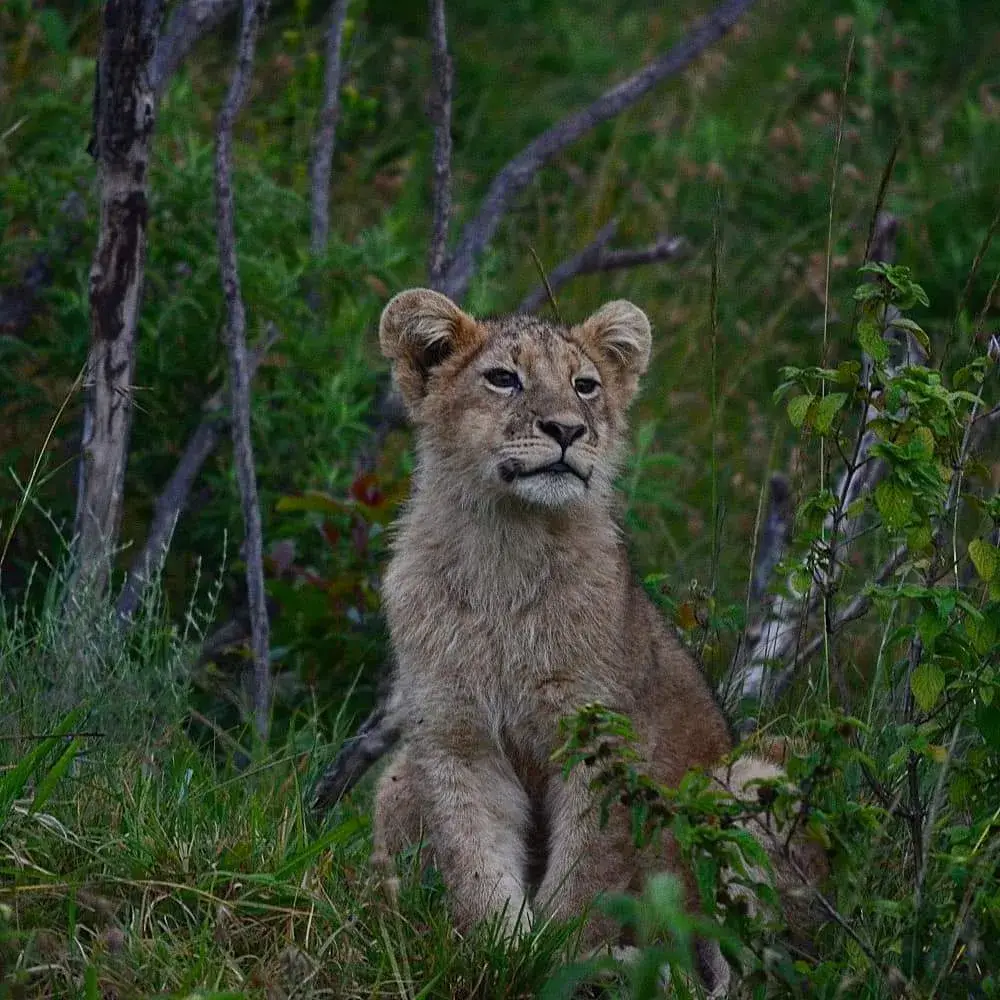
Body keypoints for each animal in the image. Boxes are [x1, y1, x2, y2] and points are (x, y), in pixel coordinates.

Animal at [360, 288, 825, 994]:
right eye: (504, 378)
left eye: (586, 386)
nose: (566, 431)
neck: (505, 548)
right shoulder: (455, 738)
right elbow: (475, 859)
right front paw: (502, 955)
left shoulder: (603, 738)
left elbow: (588, 871)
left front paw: (562, 956)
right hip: (396, 783)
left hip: (750, 778)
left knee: (752, 967)